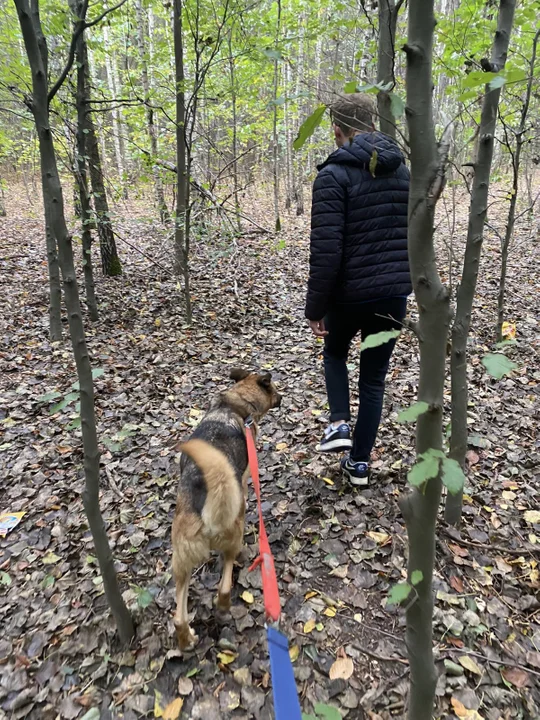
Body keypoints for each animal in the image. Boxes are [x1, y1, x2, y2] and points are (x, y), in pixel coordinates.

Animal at [173, 368, 282, 648]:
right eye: (275, 388)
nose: (282, 397)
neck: (236, 403)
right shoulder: (244, 479)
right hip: (233, 535)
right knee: (224, 584)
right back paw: (222, 606)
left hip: (181, 561)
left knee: (178, 617)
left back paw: (187, 640)